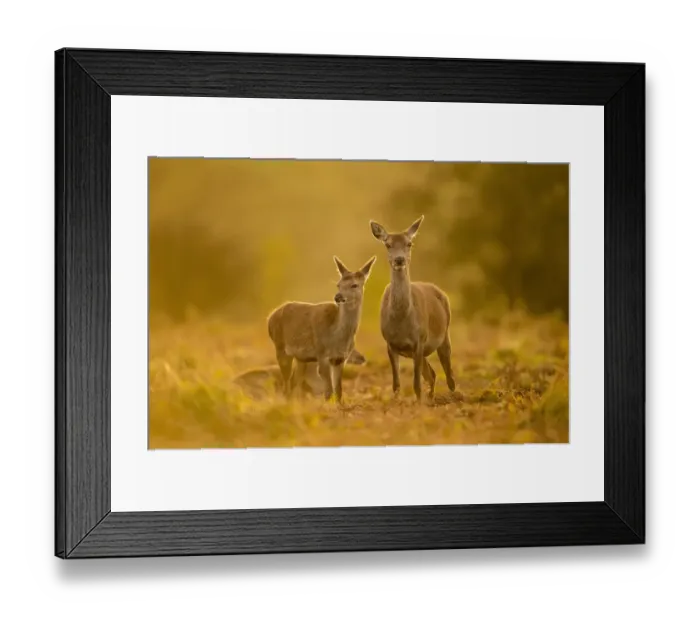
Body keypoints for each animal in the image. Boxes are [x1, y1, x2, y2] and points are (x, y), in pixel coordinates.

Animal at [267, 255, 376, 403]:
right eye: (338, 284)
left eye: (354, 285)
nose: (338, 297)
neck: (336, 337)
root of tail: (270, 318)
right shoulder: (322, 354)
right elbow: (328, 391)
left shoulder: (340, 358)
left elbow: (339, 391)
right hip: (280, 347)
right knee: (286, 384)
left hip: (301, 358)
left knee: (294, 382)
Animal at [370, 215, 456, 401]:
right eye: (388, 244)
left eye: (409, 243)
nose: (399, 259)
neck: (402, 321)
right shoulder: (390, 343)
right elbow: (396, 384)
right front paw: (397, 402)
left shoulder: (419, 340)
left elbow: (416, 384)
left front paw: (418, 402)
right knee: (432, 374)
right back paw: (431, 397)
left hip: (444, 335)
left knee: (449, 375)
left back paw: (453, 397)